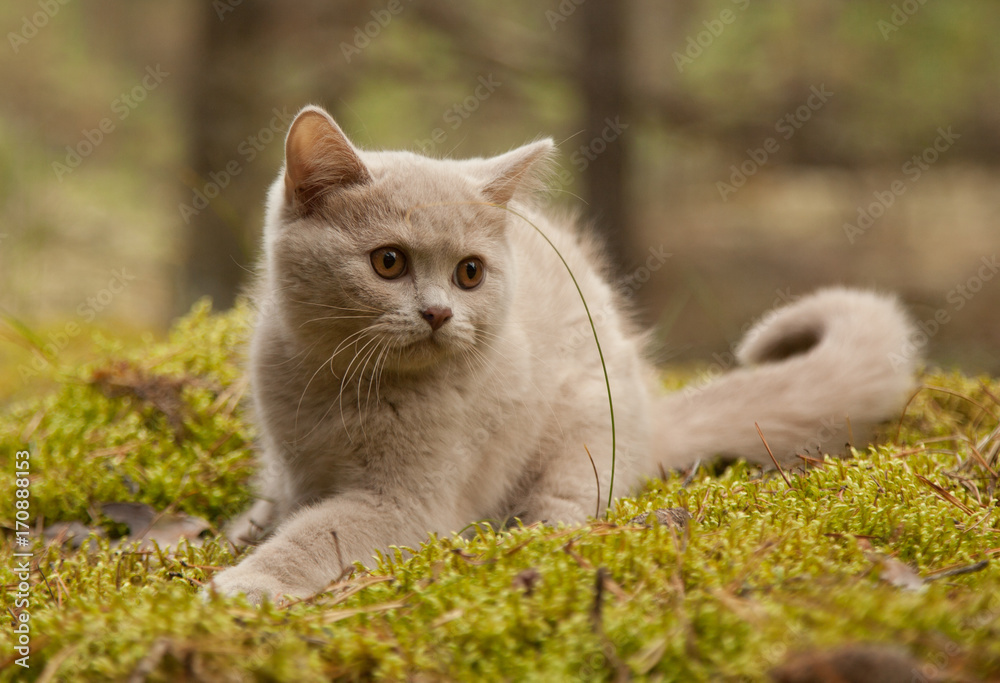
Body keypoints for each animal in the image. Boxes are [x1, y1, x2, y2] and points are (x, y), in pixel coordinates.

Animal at [211, 104, 920, 600]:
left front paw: (252, 581)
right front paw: (246, 533)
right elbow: (286, 503)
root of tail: (648, 411)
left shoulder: (407, 502)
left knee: (569, 508)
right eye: (388, 262)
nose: (438, 313)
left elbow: (319, 531)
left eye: (470, 273)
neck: (335, 385)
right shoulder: (290, 460)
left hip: (582, 431)